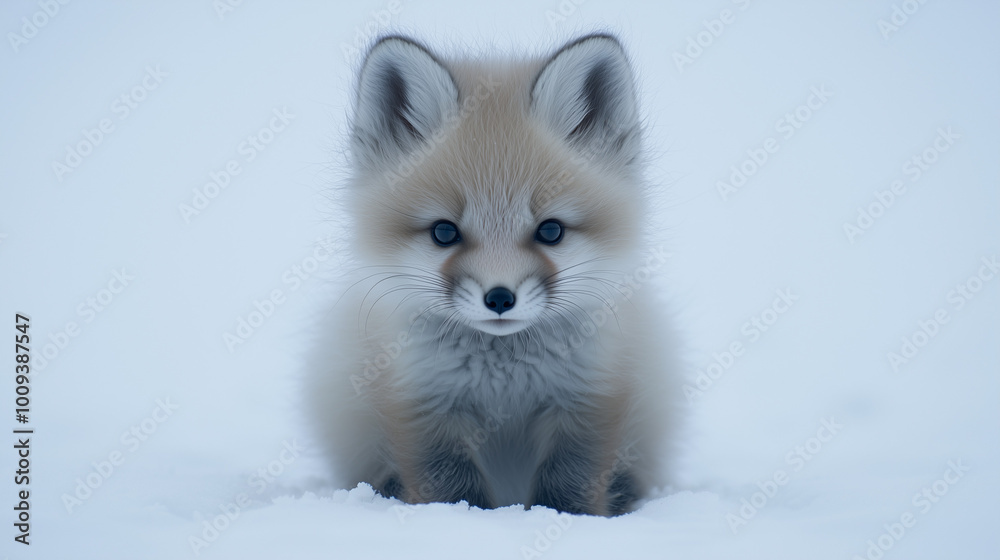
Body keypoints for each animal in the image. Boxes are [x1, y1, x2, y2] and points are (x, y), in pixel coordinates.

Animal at [305, 33, 679, 516]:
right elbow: (450, 485)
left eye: (550, 231)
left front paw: (567, 518)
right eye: (444, 232)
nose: (500, 298)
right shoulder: (421, 401)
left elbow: (570, 482)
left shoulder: (590, 397)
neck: (504, 377)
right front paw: (465, 519)